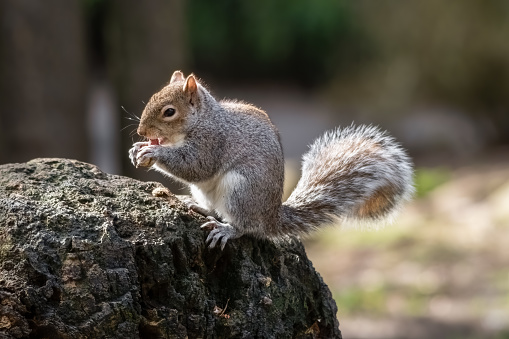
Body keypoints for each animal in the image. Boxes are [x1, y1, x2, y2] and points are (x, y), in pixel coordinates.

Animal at [128, 71, 412, 250]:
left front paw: (154, 154)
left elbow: (196, 166)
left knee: (245, 226)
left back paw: (226, 229)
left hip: (241, 189)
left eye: (169, 112)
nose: (142, 131)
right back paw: (198, 206)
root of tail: (270, 217)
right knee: (213, 208)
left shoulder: (213, 142)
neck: (204, 119)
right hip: (210, 192)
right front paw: (138, 149)